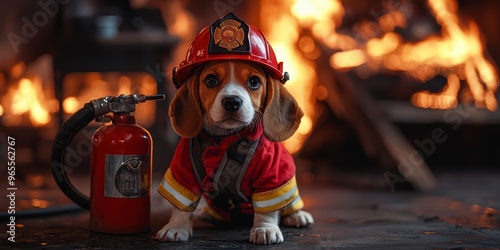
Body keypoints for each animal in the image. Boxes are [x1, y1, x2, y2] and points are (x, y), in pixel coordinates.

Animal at [155, 60, 312, 244]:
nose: (232, 102)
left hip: (288, 183)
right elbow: (180, 205)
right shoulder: (182, 169)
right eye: (211, 80)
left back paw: (298, 216)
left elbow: (267, 210)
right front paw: (176, 227)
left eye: (254, 81)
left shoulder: (273, 175)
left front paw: (265, 229)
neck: (224, 139)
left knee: (290, 203)